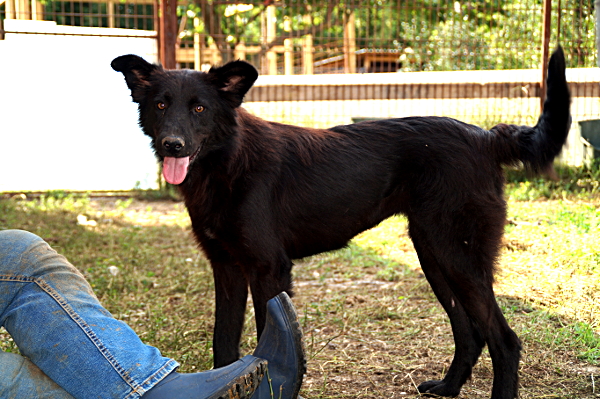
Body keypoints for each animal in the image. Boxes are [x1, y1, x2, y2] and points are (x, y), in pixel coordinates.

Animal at [113, 47, 572, 399]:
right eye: (160, 105)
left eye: (199, 108)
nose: (173, 144)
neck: (225, 164)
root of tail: (486, 137)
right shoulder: (226, 269)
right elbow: (223, 344)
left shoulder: (268, 270)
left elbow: (264, 343)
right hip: (435, 256)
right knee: (470, 332)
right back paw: (447, 387)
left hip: (458, 257)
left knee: (504, 340)